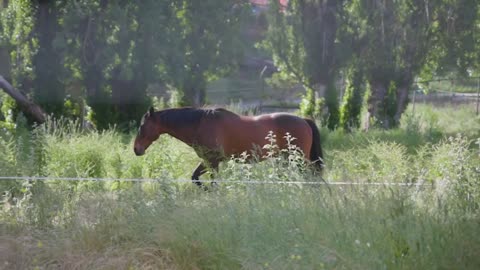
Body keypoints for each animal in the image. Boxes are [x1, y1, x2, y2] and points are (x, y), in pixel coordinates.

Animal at [133, 106, 324, 187]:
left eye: (142, 126)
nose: (136, 149)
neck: (201, 123)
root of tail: (304, 120)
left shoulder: (213, 161)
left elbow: (212, 182)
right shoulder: (208, 161)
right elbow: (195, 178)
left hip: (299, 158)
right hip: (288, 159)